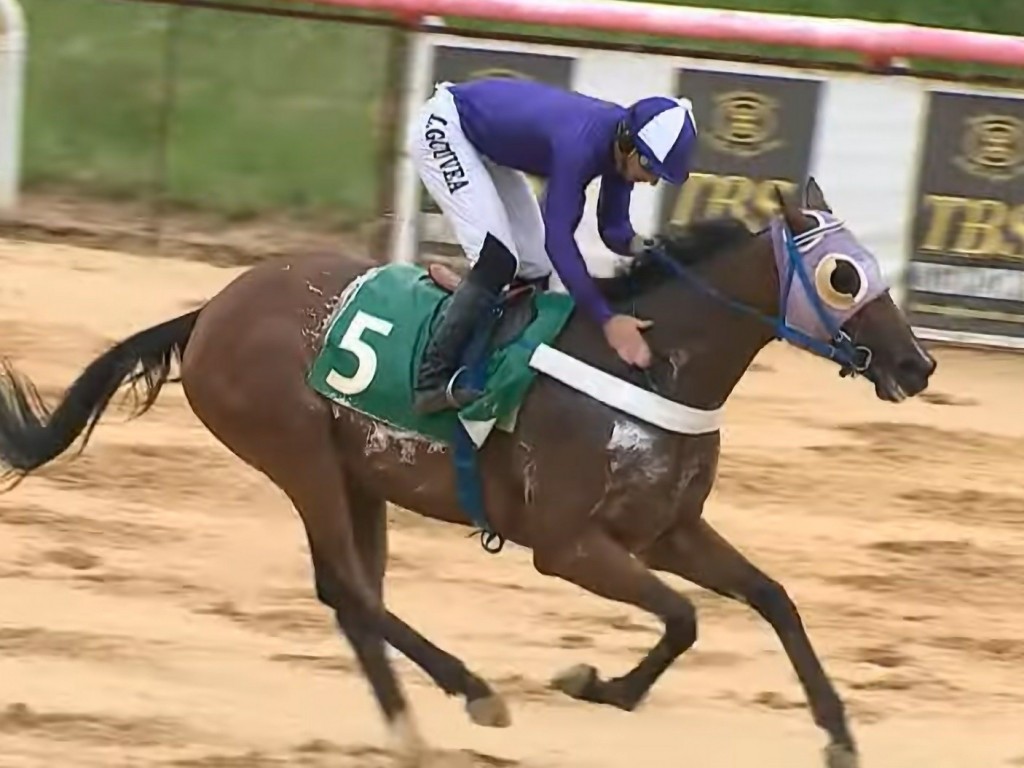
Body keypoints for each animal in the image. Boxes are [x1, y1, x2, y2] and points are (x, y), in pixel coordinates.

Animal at [0, 177, 933, 765]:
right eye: (842, 276)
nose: (917, 364)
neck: (649, 364)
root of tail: (210, 309)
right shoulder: (566, 545)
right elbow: (684, 616)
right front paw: (597, 682)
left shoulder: (668, 529)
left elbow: (769, 599)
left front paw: (839, 731)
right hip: (297, 451)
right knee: (351, 590)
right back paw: (474, 689)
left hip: (357, 476)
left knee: (350, 594)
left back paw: (410, 730)